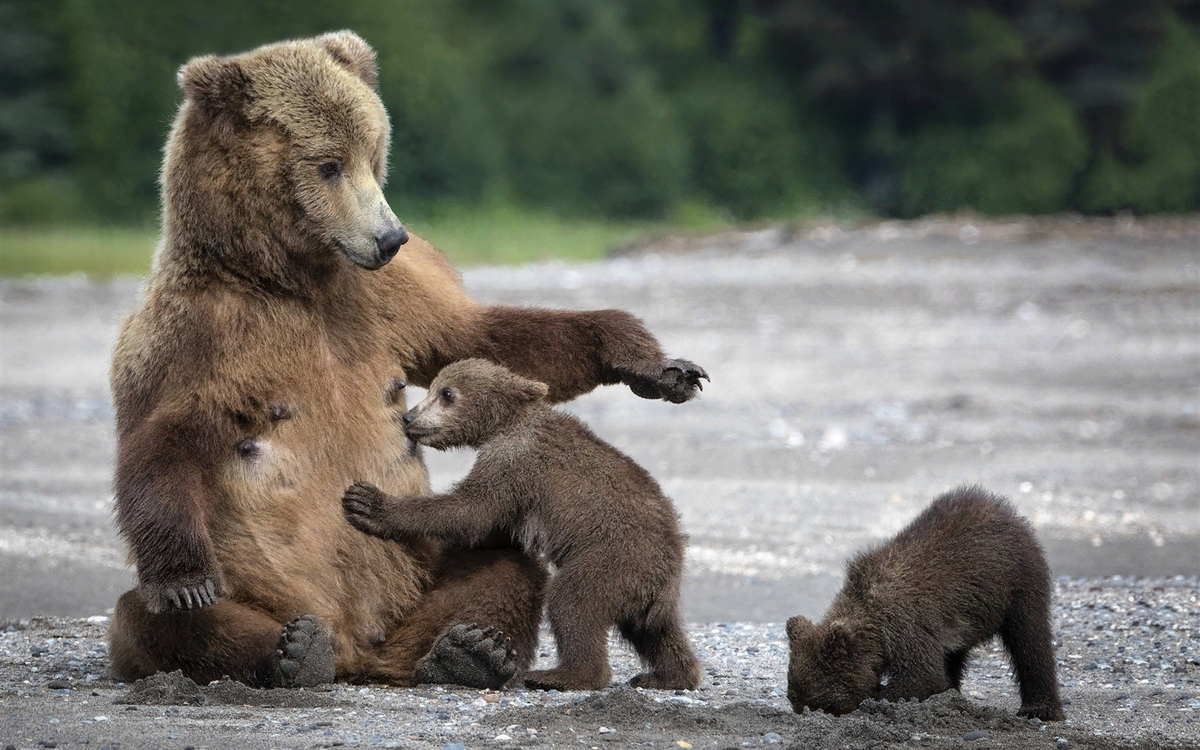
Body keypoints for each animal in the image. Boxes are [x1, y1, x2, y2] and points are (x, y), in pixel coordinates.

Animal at [345, 357, 700, 691]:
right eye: (434, 388)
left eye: (446, 393)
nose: (409, 417)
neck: (503, 424)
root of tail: (670, 571)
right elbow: (488, 525)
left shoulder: (513, 462)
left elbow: (469, 511)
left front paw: (367, 503)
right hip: (644, 588)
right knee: (657, 632)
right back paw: (667, 676)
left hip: (612, 558)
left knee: (572, 603)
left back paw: (560, 675)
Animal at [787, 484, 1060, 720]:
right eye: (795, 700)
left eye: (822, 703)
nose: (803, 711)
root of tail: (1005, 509)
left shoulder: (905, 622)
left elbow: (921, 675)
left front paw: (880, 694)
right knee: (954, 654)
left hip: (1018, 581)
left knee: (1029, 639)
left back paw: (1039, 708)